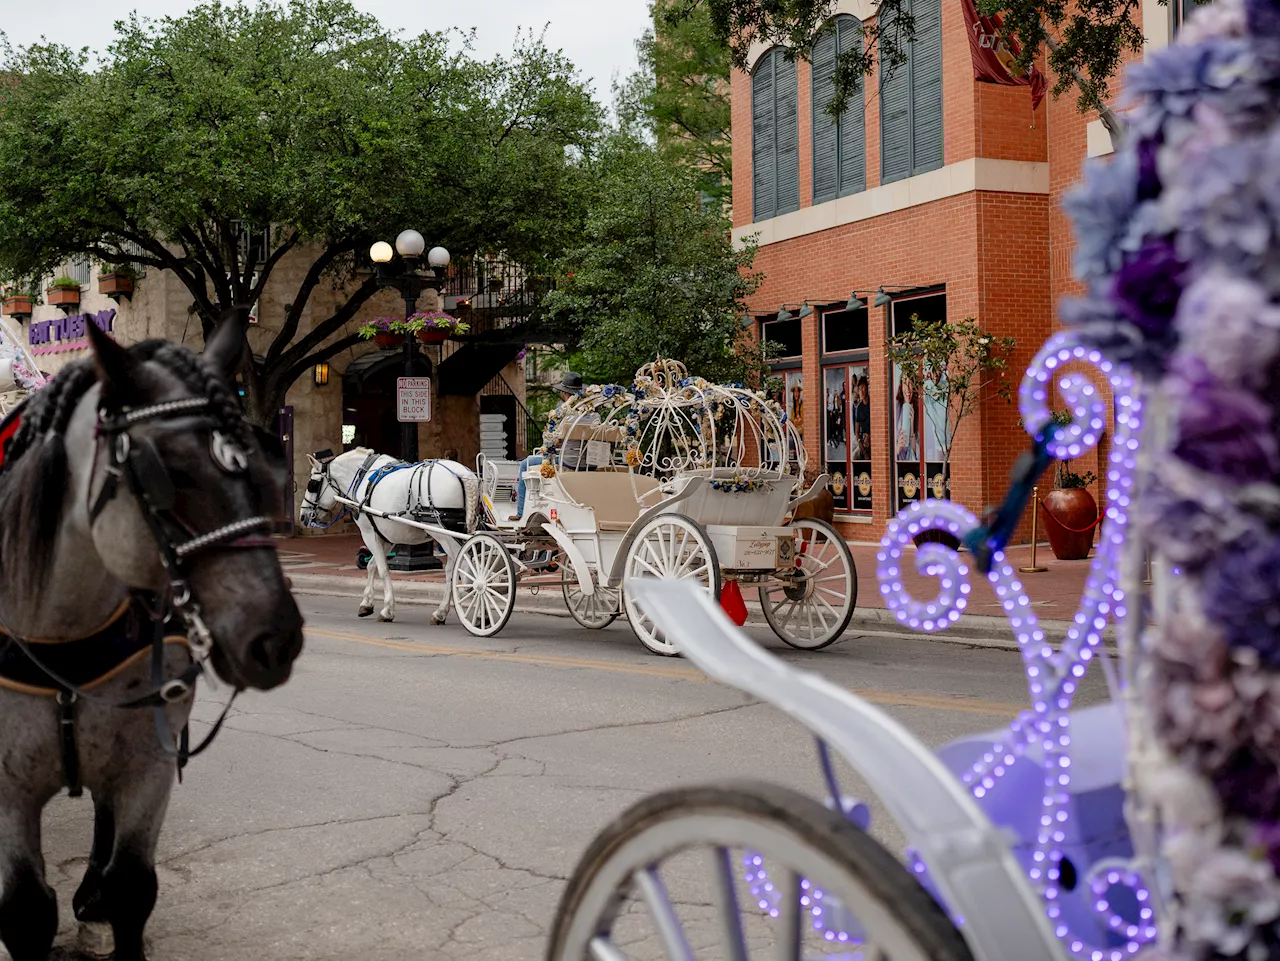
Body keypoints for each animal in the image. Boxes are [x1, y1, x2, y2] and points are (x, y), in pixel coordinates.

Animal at [0, 312, 303, 957]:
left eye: (263, 470)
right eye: (170, 473)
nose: (277, 639)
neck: (61, 631)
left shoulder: (148, 767)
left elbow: (132, 889)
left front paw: (102, 908)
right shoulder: (6, 791)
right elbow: (25, 913)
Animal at [299, 450, 481, 624]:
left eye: (312, 484)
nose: (302, 516)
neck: (362, 479)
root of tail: (462, 473)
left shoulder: (369, 533)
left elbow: (382, 569)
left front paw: (387, 610)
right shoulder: (387, 537)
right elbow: (371, 565)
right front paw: (366, 604)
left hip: (441, 531)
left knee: (465, 564)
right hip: (452, 532)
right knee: (453, 568)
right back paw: (442, 613)